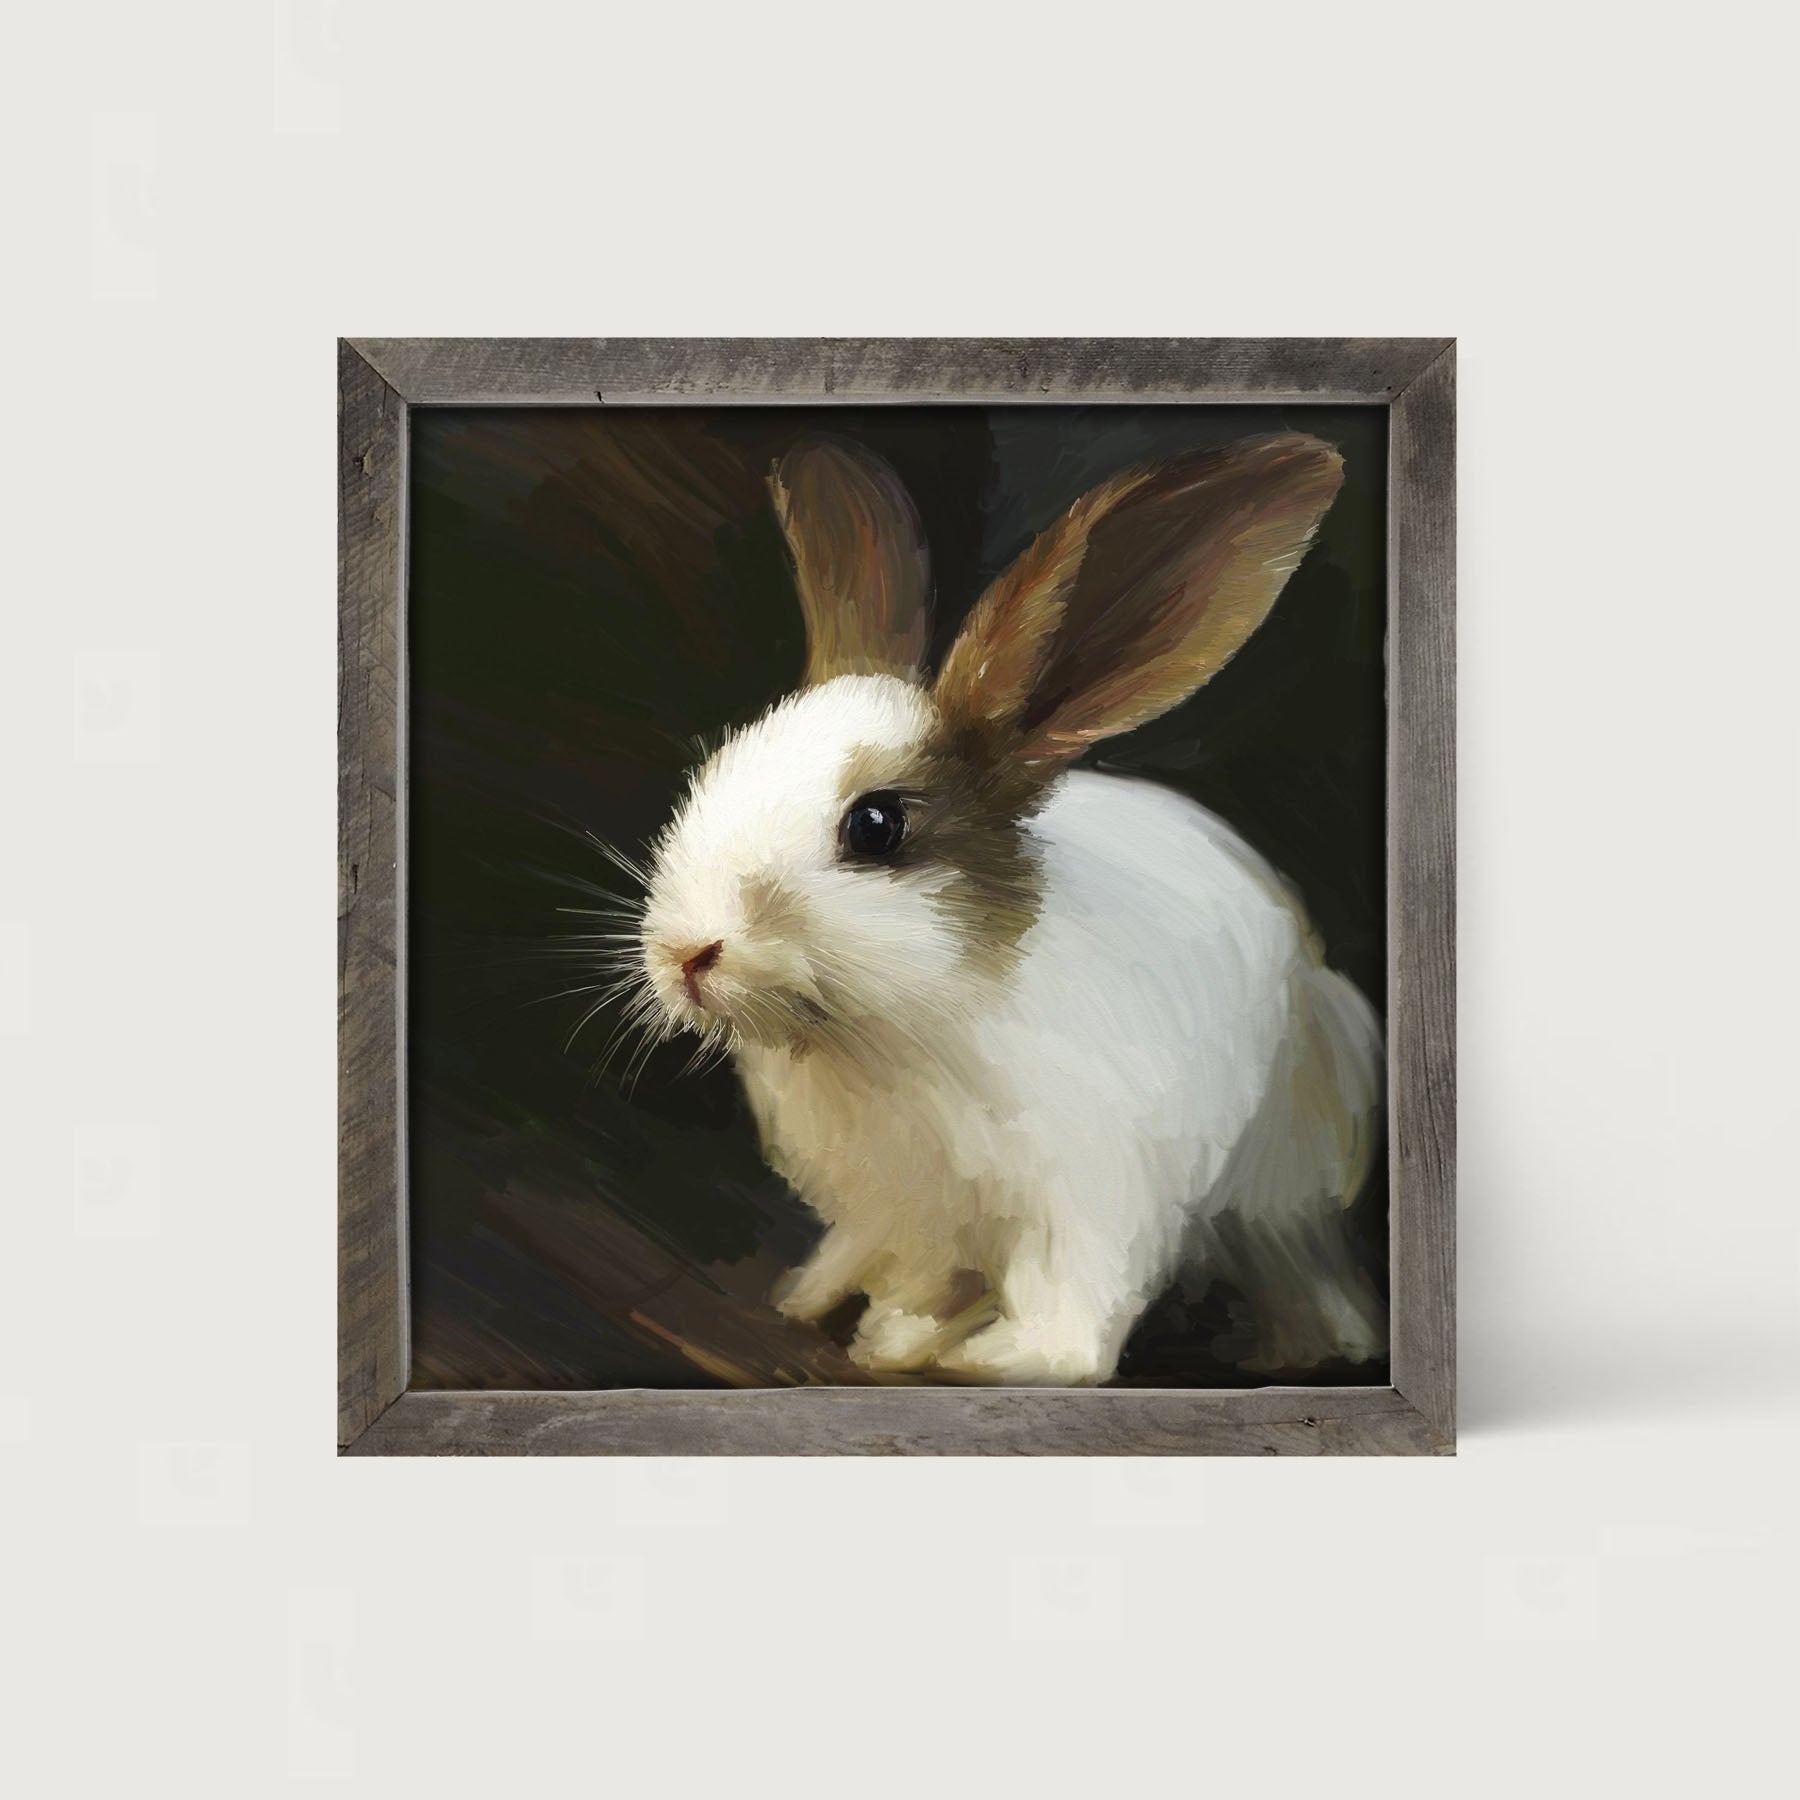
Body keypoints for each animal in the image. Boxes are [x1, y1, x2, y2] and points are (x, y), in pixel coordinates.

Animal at [629, 431, 1386, 1385]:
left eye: (875, 826)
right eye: (717, 768)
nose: (685, 954)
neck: (891, 1034)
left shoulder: (1091, 1198)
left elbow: (1073, 1318)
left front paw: (999, 1360)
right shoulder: (903, 1213)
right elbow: (917, 1279)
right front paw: (890, 1336)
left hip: (1286, 1183)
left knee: (1297, 1263)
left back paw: (1308, 1347)